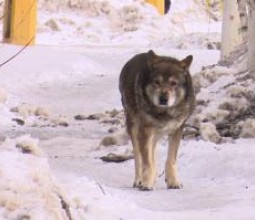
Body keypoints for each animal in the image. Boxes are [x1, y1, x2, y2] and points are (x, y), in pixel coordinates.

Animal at [119, 50, 195, 191]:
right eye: (156, 82)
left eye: (173, 83)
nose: (163, 98)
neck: (164, 112)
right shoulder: (145, 130)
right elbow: (147, 161)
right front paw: (147, 183)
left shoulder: (177, 129)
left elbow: (170, 159)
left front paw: (173, 181)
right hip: (134, 126)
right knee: (138, 157)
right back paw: (139, 180)